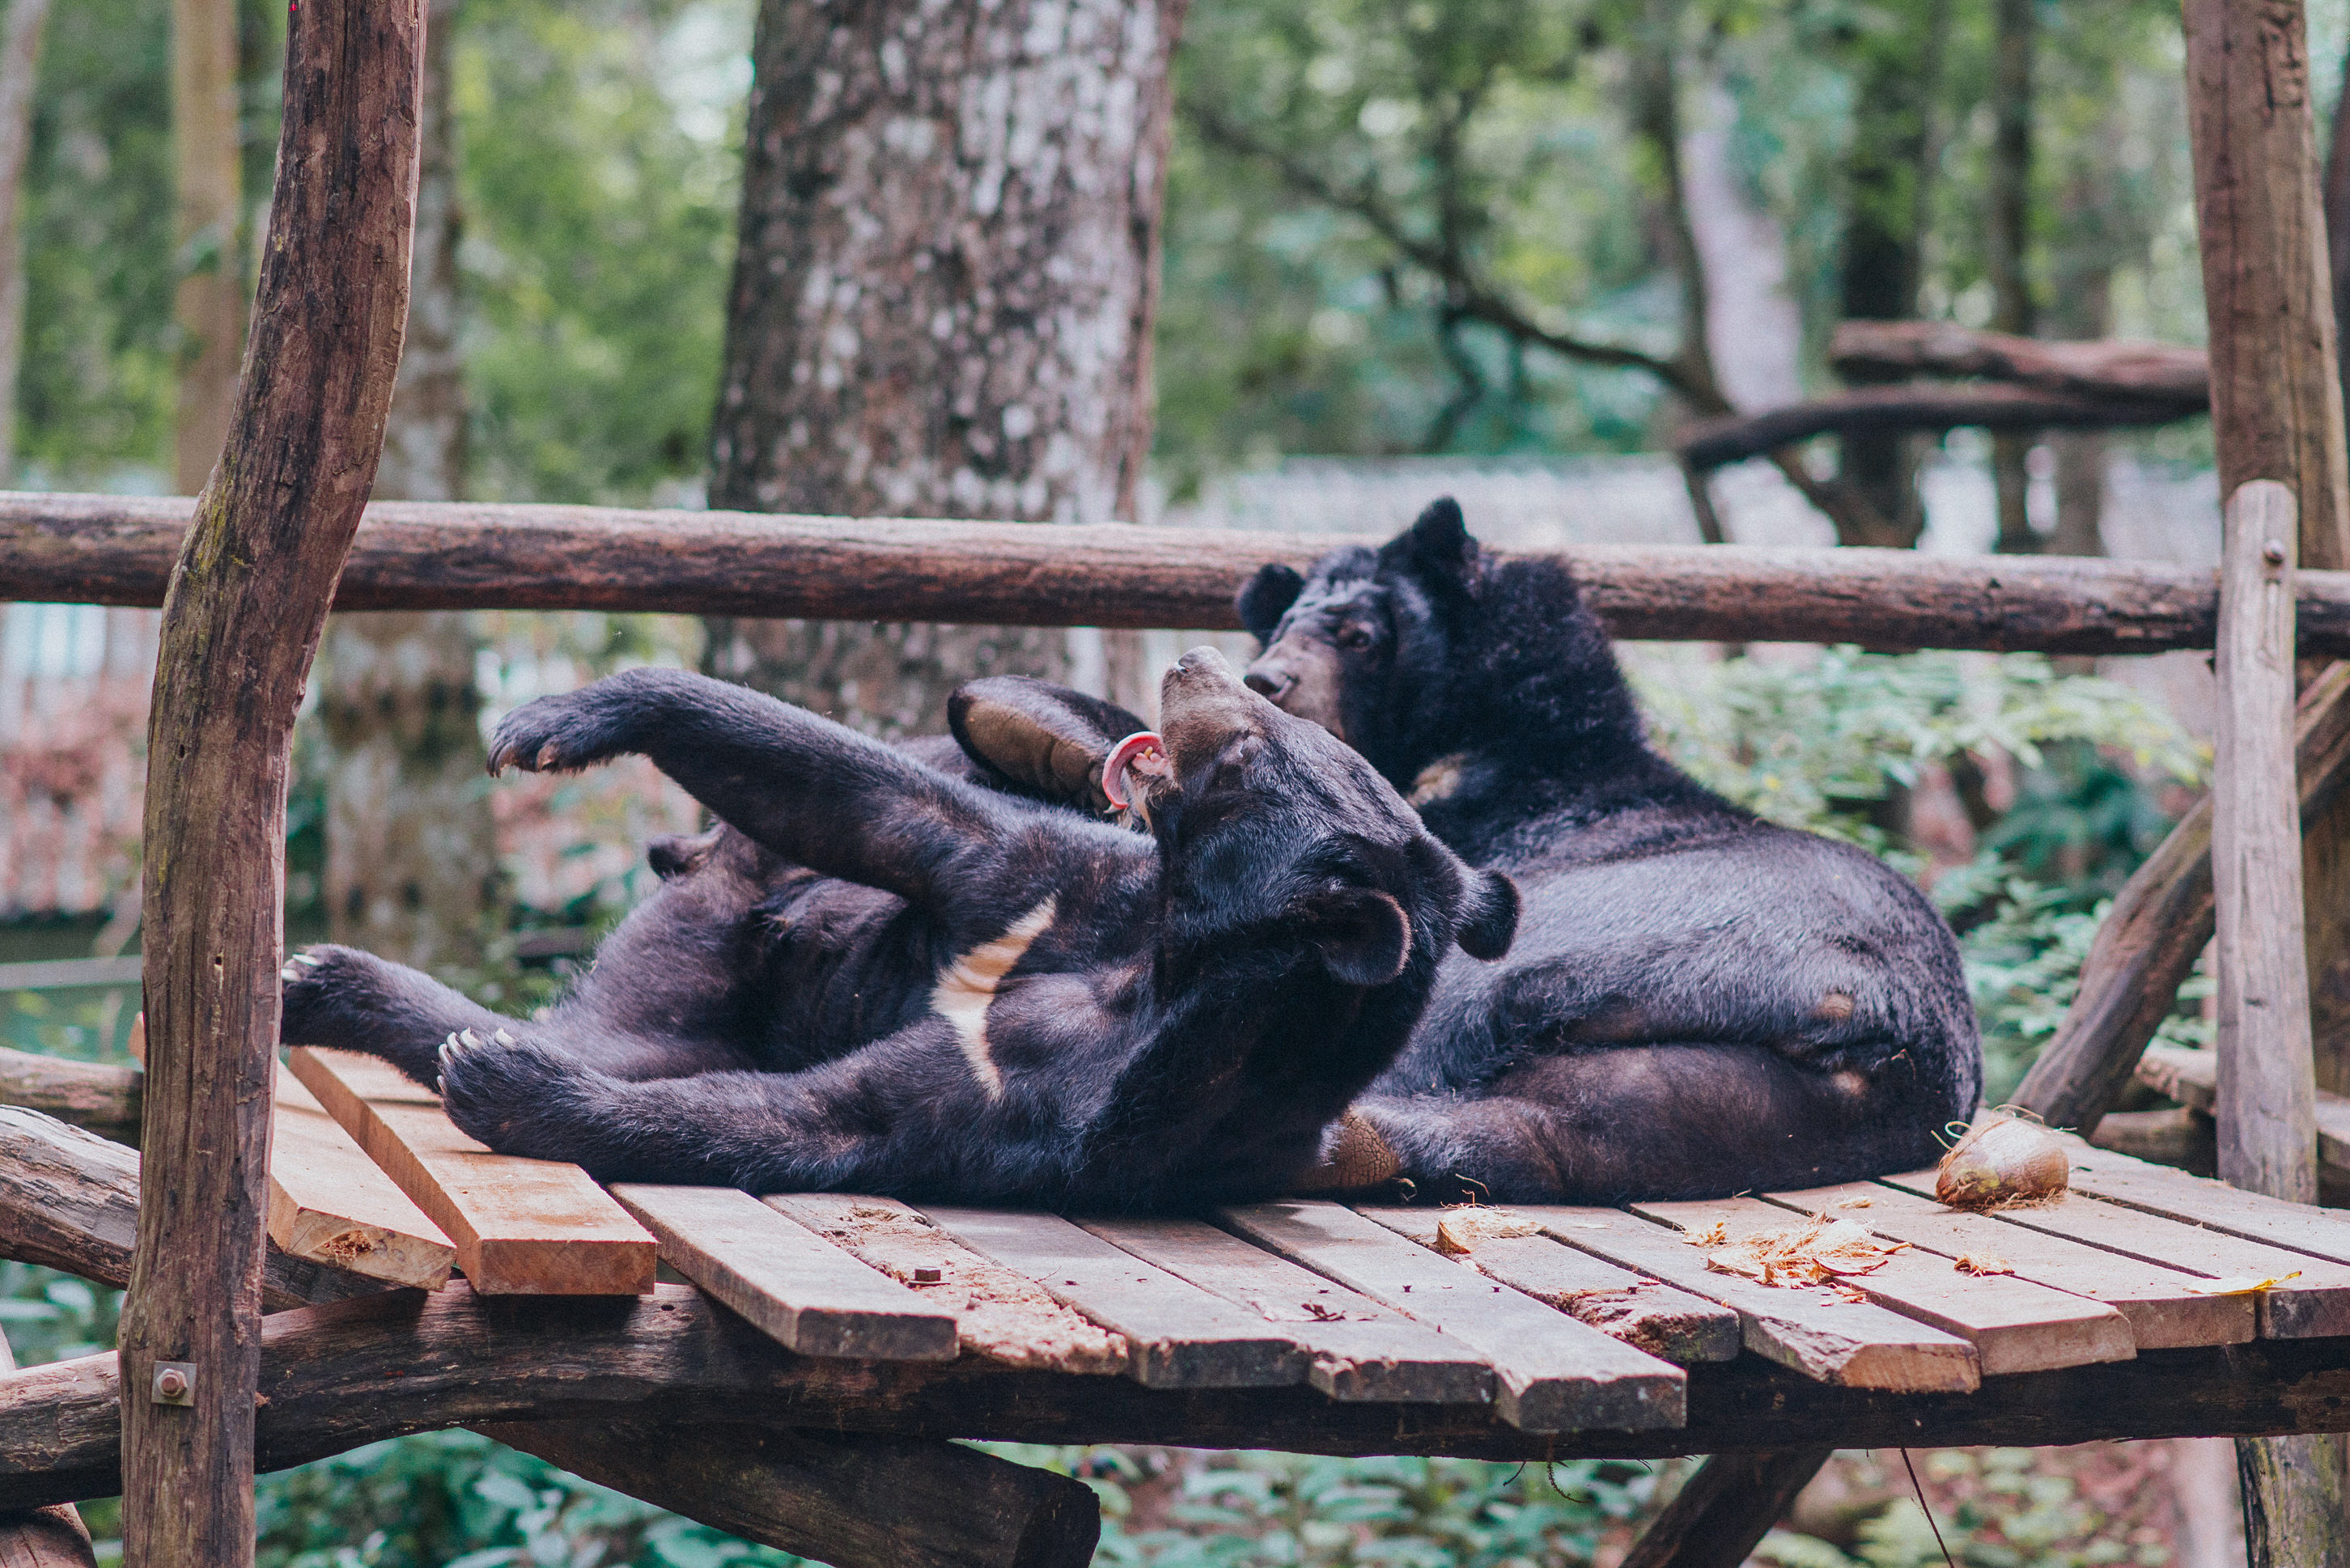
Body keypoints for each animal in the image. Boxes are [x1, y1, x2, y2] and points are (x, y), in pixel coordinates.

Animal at [279, 644, 1522, 1213]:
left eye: (1256, 750)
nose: (1200, 662)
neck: (1167, 951)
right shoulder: (1067, 889)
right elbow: (899, 815)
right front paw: (570, 716)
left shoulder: (1074, 1103)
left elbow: (837, 1116)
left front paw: (507, 1083)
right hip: (713, 911)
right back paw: (327, 980)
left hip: (677, 988)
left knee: (621, 1044)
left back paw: (430, 1024)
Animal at [1231, 502, 1983, 1203]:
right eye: (1279, 631)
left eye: (1359, 638)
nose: (1262, 680)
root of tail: (1876, 1025)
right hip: (1734, 1103)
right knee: (1548, 1132)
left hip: (1604, 945)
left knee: (1449, 1016)